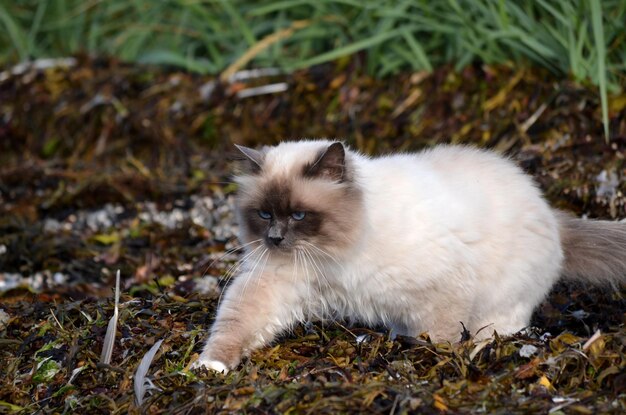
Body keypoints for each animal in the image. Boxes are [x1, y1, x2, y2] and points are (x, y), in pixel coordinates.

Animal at [190, 140, 624, 374]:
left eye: (298, 215)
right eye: (265, 214)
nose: (276, 239)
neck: (336, 254)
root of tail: (552, 213)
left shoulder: (443, 287)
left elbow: (443, 338)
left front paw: (437, 362)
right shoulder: (276, 281)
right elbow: (235, 325)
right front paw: (210, 367)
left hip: (499, 305)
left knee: (500, 327)